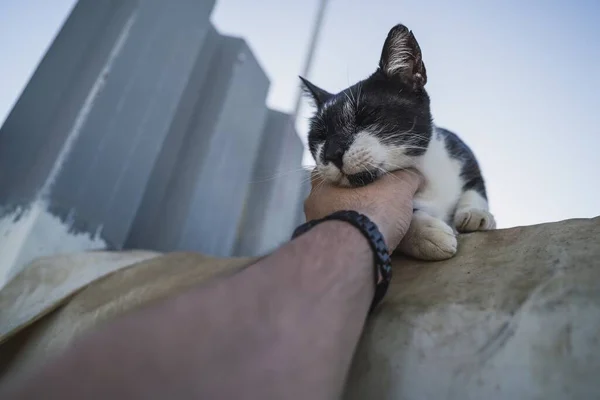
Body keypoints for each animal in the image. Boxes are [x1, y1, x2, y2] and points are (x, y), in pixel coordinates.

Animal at [302, 23, 494, 260]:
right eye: (319, 136)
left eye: (367, 115)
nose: (332, 152)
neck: (426, 171)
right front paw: (426, 233)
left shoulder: (460, 150)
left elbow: (475, 187)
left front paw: (475, 213)